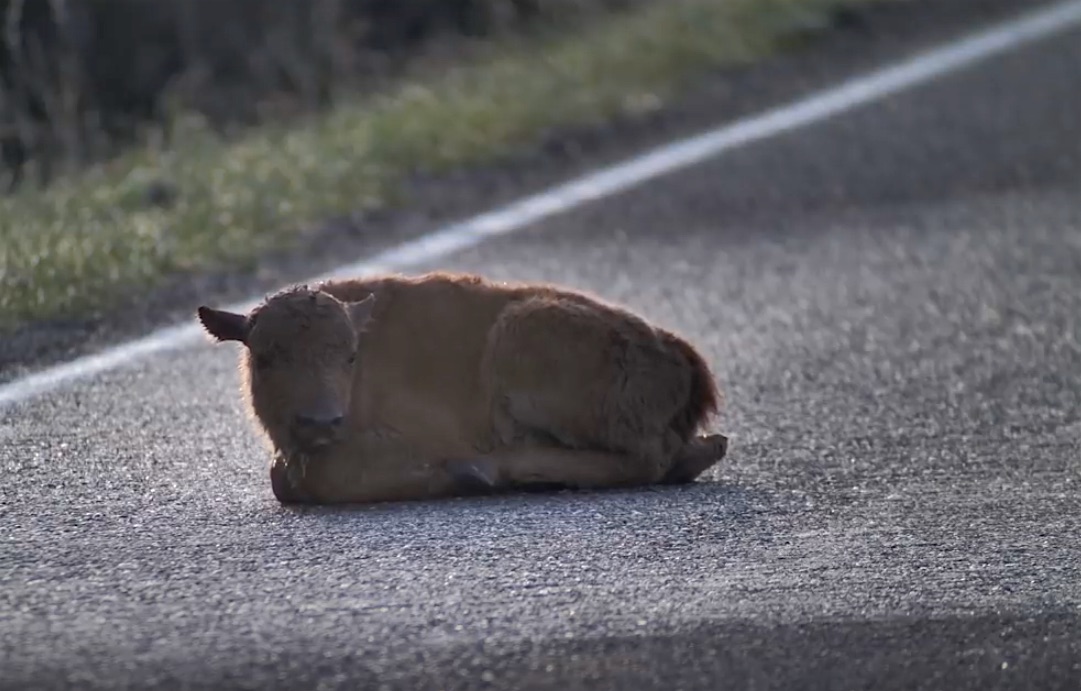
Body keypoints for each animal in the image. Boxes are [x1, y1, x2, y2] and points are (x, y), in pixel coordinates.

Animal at [196, 270, 728, 505]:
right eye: (265, 357)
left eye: (349, 355)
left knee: (648, 458)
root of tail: (675, 351)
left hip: (521, 339)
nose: (321, 421)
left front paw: (462, 473)